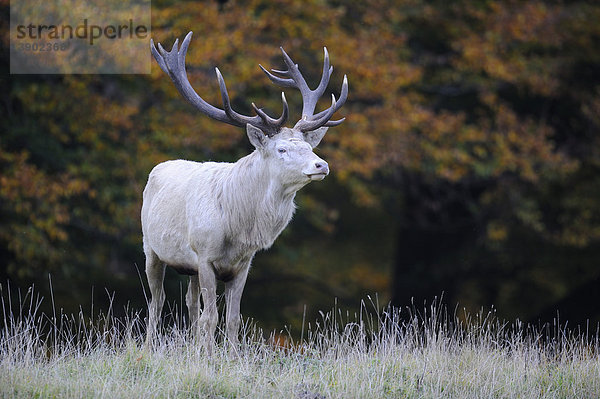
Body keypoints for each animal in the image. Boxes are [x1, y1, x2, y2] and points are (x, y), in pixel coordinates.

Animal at [143, 32, 346, 354]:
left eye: (309, 147)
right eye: (282, 149)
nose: (321, 165)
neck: (238, 228)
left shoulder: (242, 264)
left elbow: (233, 318)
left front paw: (230, 356)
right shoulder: (205, 255)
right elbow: (211, 317)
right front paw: (208, 358)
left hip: (188, 265)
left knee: (190, 303)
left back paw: (190, 347)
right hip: (151, 247)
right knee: (158, 299)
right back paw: (149, 348)